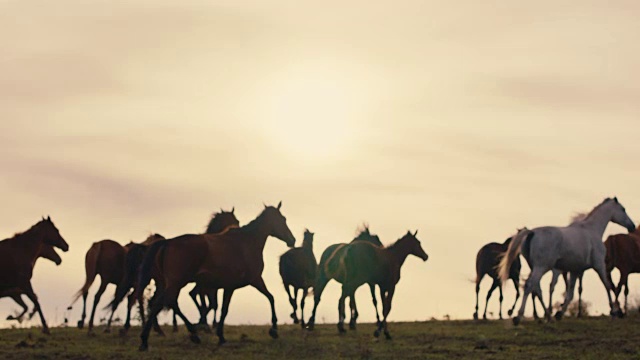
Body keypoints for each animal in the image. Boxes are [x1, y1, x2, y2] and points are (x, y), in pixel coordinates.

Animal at [137, 202, 296, 348]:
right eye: (282, 219)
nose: (292, 240)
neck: (246, 244)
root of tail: (167, 242)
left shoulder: (234, 285)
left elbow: (268, 298)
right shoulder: (248, 281)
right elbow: (227, 309)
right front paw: (273, 330)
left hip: (169, 283)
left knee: (161, 303)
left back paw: (149, 339)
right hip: (176, 283)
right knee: (164, 302)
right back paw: (187, 334)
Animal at [500, 197, 636, 324]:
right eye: (623, 209)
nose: (632, 226)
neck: (592, 230)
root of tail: (532, 232)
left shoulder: (575, 270)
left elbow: (570, 293)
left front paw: (559, 314)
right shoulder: (599, 266)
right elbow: (607, 286)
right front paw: (613, 312)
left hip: (535, 267)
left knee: (537, 289)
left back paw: (549, 316)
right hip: (541, 267)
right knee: (530, 286)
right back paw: (518, 317)